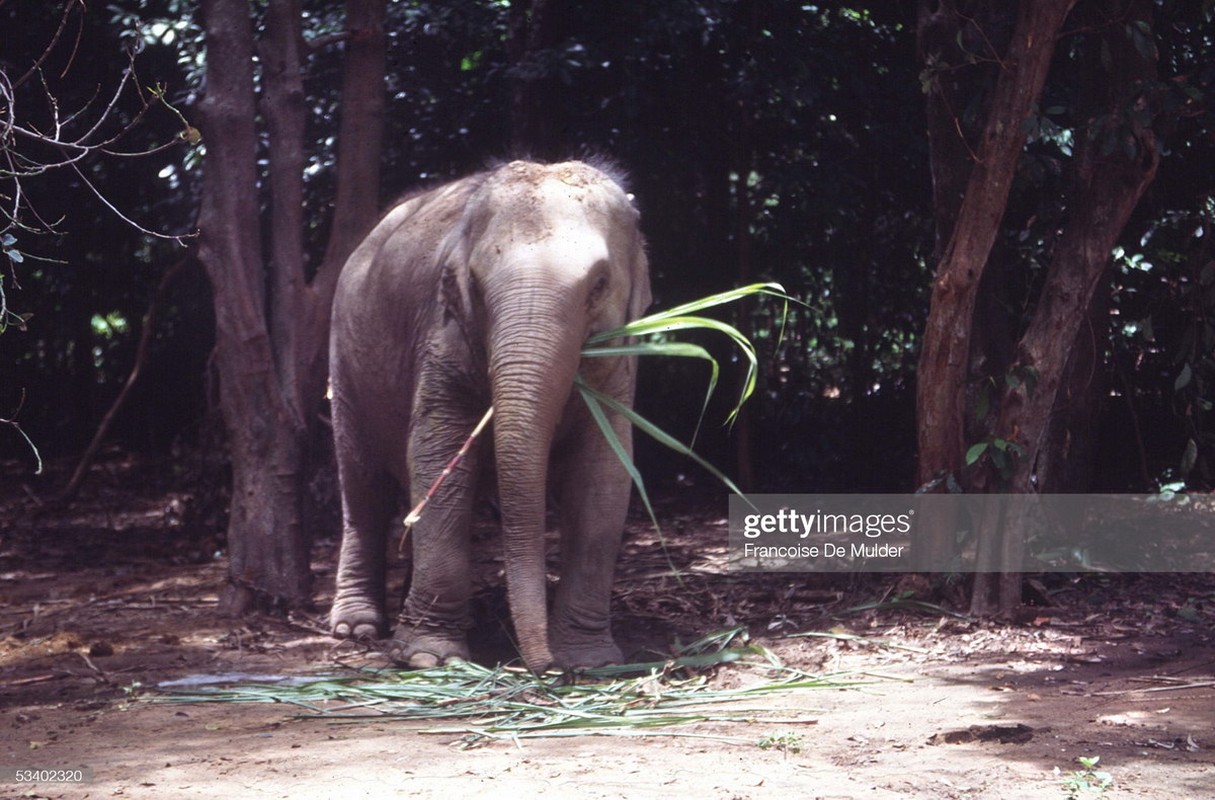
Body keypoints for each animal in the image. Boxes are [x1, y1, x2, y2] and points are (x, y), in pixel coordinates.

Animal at [328, 159, 651, 671]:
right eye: (473, 286)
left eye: (599, 286)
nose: (546, 669)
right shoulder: (442, 336)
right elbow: (436, 456)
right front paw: (428, 659)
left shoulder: (618, 366)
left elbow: (602, 476)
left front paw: (590, 663)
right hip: (345, 359)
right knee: (362, 487)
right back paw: (356, 629)